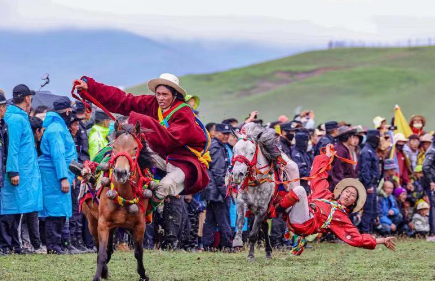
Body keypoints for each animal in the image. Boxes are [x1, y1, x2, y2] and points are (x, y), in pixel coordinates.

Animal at [82, 120, 155, 280]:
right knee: (99, 247)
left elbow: (139, 252)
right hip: (91, 221)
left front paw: (143, 274)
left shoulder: (139, 225)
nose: (121, 172)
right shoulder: (102, 224)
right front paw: (98, 275)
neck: (124, 194)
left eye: (135, 148)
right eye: (114, 146)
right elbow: (102, 253)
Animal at [232, 123, 300, 260]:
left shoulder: (263, 208)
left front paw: (251, 255)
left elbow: (254, 233)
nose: (237, 174)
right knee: (264, 226)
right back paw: (268, 251)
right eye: (234, 150)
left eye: (251, 152)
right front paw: (237, 241)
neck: (256, 181)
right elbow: (240, 222)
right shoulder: (242, 201)